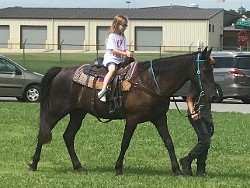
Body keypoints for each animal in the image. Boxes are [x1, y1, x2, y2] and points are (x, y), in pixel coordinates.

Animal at [28, 47, 214, 176]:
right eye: (205, 70)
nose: (212, 94)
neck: (150, 83)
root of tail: (61, 70)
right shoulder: (132, 119)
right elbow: (125, 143)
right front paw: (118, 168)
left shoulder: (160, 118)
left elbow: (169, 142)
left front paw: (177, 170)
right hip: (56, 111)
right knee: (44, 132)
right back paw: (34, 164)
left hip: (78, 113)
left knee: (68, 136)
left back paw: (78, 166)